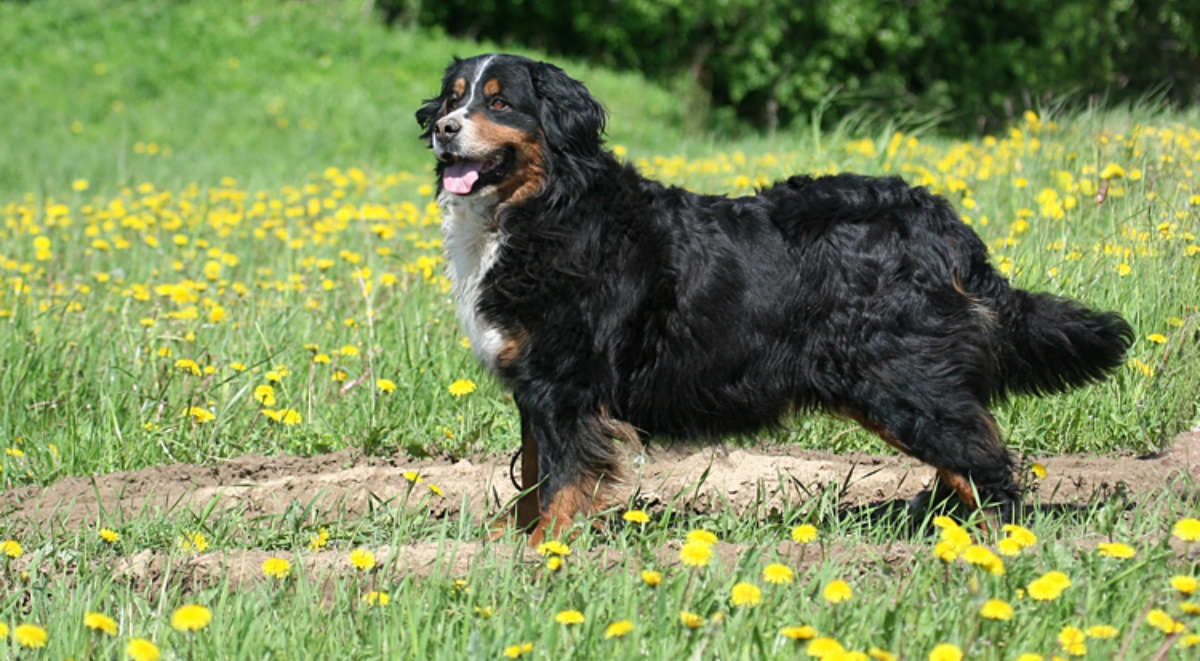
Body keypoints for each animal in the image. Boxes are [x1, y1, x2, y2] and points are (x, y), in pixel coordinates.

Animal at [420, 54, 1132, 542]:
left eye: (500, 104)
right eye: (454, 98)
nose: (444, 128)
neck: (541, 210)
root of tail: (940, 220)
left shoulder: (565, 382)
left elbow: (562, 477)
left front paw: (544, 551)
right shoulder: (534, 381)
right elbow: (534, 472)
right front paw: (506, 542)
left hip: (900, 377)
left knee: (985, 462)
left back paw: (987, 545)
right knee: (965, 455)